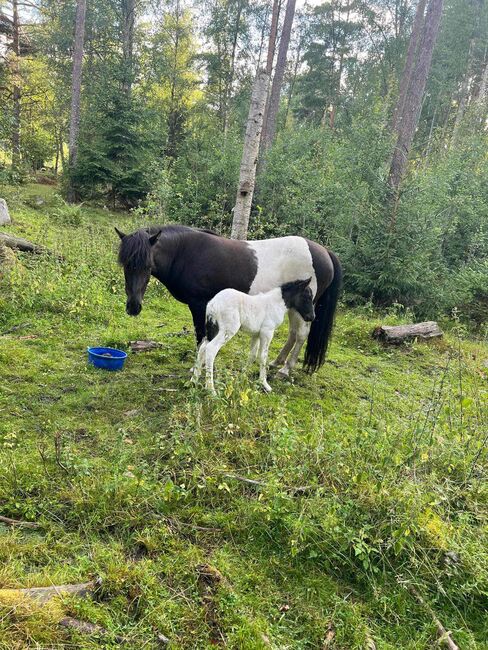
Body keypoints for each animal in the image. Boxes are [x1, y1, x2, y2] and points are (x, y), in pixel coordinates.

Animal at [116, 225, 342, 374]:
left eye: (147, 265)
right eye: (125, 264)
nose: (133, 307)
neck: (186, 253)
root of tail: (324, 251)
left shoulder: (199, 305)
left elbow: (202, 338)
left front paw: (198, 368)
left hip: (303, 308)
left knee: (302, 334)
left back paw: (285, 369)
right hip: (294, 307)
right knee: (294, 334)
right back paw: (277, 362)